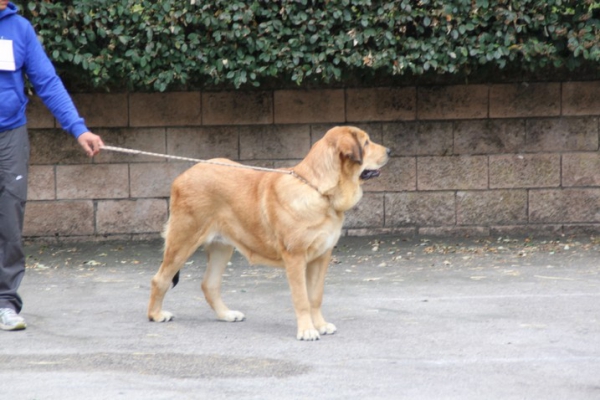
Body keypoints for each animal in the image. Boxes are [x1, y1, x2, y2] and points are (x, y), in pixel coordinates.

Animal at [148, 126, 392, 340]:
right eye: (366, 143)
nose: (390, 150)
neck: (319, 191)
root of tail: (182, 176)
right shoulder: (295, 258)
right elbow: (302, 299)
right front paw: (307, 330)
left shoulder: (321, 257)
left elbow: (315, 296)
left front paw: (320, 325)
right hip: (183, 240)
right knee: (160, 279)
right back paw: (156, 315)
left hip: (222, 247)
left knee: (209, 284)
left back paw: (226, 315)